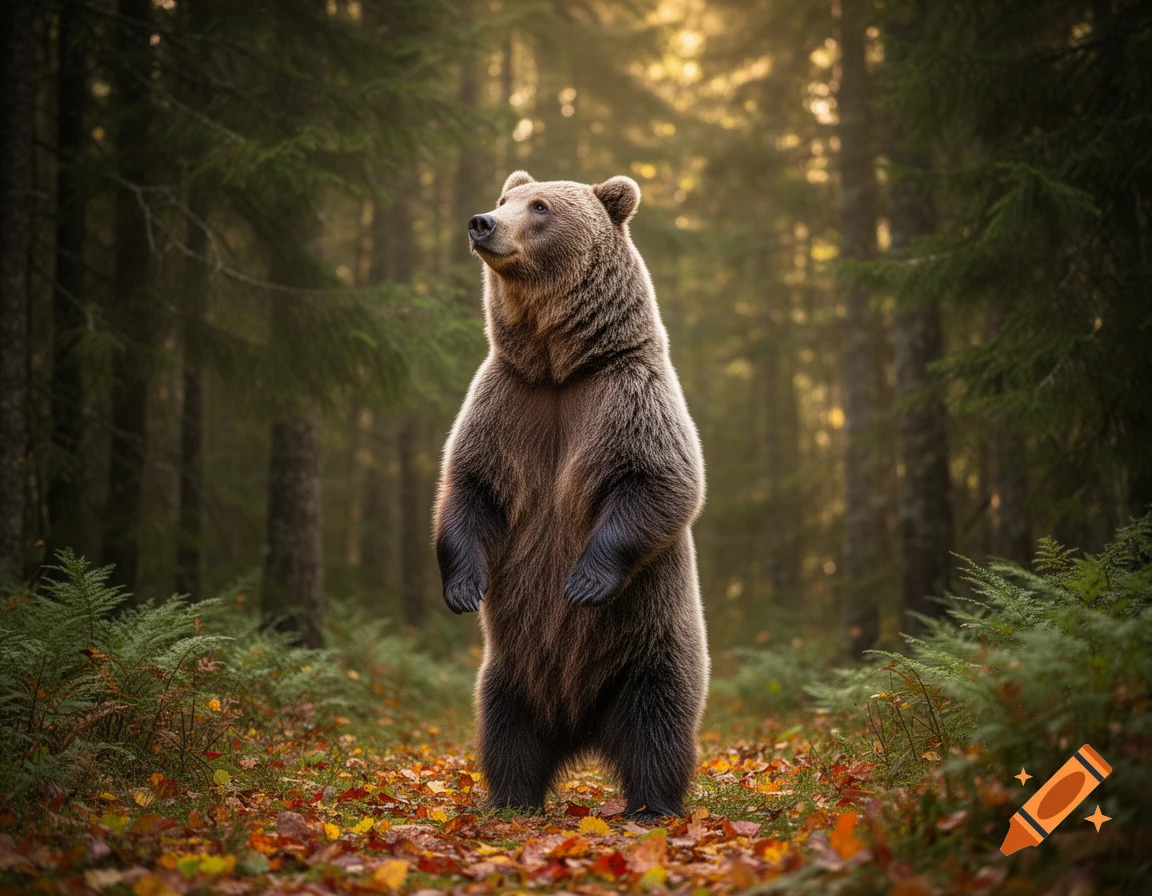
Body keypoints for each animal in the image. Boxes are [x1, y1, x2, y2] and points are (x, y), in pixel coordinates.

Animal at [433, 170, 708, 818]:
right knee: (506, 730)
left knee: (657, 727)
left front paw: (583, 581)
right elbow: (470, 485)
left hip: (648, 650)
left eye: (540, 206)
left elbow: (659, 480)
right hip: (510, 667)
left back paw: (651, 806)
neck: (559, 365)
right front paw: (463, 587)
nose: (482, 222)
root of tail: (580, 726)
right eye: (504, 198)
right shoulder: (508, 399)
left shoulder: (625, 395)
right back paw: (512, 798)